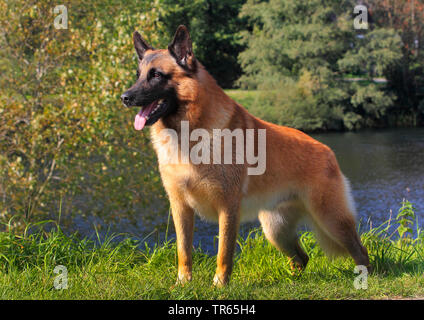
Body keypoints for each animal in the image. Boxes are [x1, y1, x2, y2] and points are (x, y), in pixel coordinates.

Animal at [121, 25, 370, 284]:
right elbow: (183, 251)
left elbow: (223, 252)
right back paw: (292, 281)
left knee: (361, 252)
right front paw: (183, 283)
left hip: (331, 220)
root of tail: (328, 151)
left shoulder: (228, 208)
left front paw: (220, 284)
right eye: (138, 75)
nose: (124, 97)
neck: (189, 134)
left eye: (156, 75)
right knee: (301, 257)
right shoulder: (180, 208)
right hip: (276, 230)